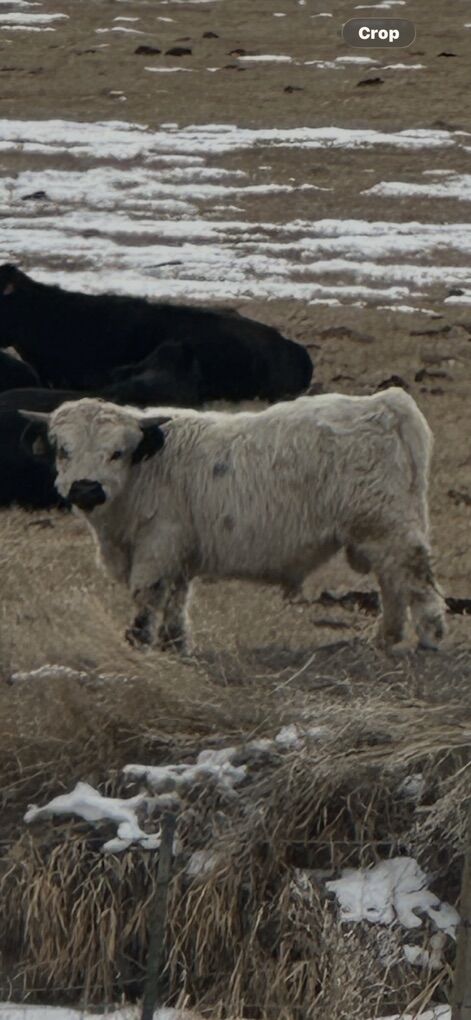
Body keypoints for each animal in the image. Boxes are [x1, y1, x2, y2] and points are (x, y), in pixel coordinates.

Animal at [21, 389, 446, 653]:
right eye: (63, 450)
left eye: (116, 452)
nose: (85, 489)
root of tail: (384, 404)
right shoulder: (179, 556)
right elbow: (177, 601)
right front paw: (175, 645)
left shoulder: (156, 548)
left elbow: (148, 598)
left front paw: (139, 643)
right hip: (379, 533)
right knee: (392, 582)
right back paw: (386, 638)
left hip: (388, 529)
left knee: (415, 579)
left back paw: (429, 638)